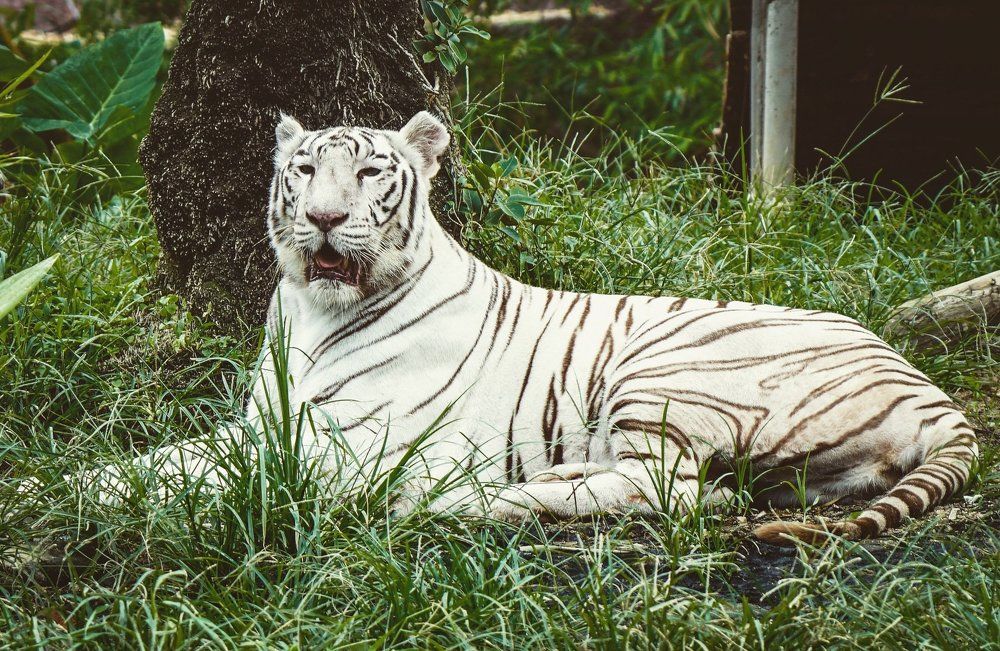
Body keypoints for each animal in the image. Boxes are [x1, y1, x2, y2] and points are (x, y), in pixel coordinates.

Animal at [96, 111, 978, 546]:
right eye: (305, 169)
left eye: (372, 171)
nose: (324, 219)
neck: (316, 311)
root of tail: (923, 383)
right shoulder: (269, 418)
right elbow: (169, 456)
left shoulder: (354, 437)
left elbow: (208, 470)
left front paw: (93, 494)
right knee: (692, 488)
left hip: (661, 369)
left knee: (672, 490)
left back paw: (461, 499)